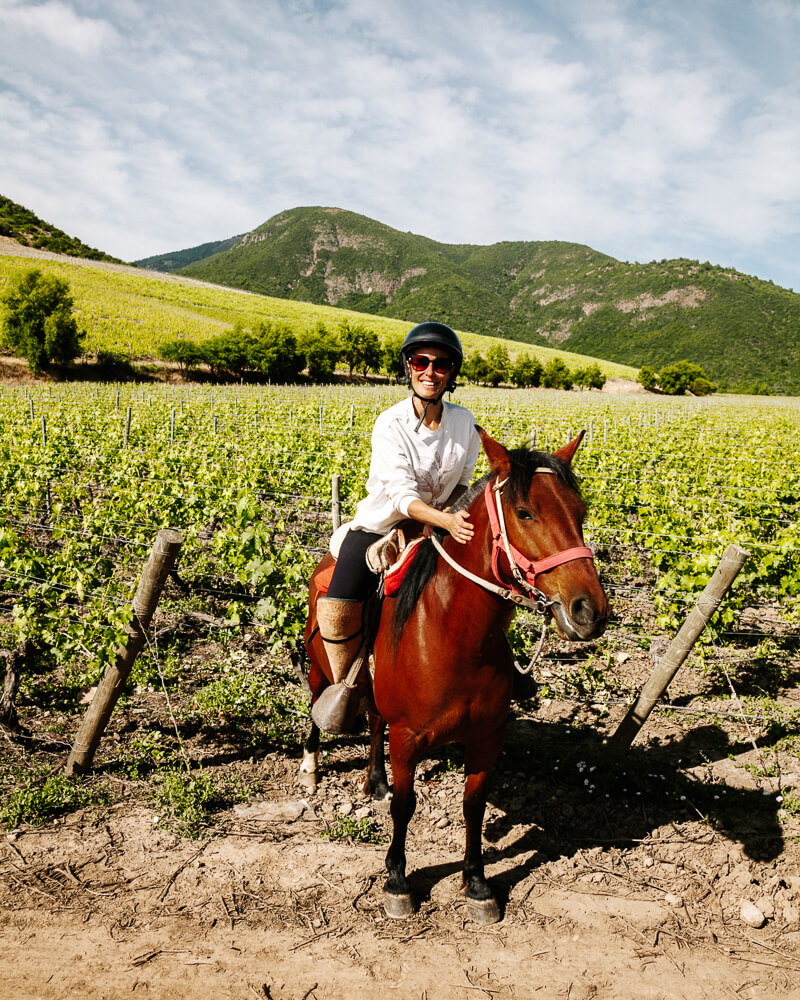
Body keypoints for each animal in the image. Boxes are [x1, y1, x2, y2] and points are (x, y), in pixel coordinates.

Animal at [300, 430, 608, 920]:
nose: (589, 610)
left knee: (374, 718)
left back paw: (375, 781)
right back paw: (311, 768)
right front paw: (397, 881)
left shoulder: (487, 736)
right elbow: (406, 807)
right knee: (317, 708)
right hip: (320, 666)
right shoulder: (408, 737)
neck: (454, 635)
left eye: (580, 512)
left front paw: (477, 883)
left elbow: (473, 806)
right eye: (525, 512)